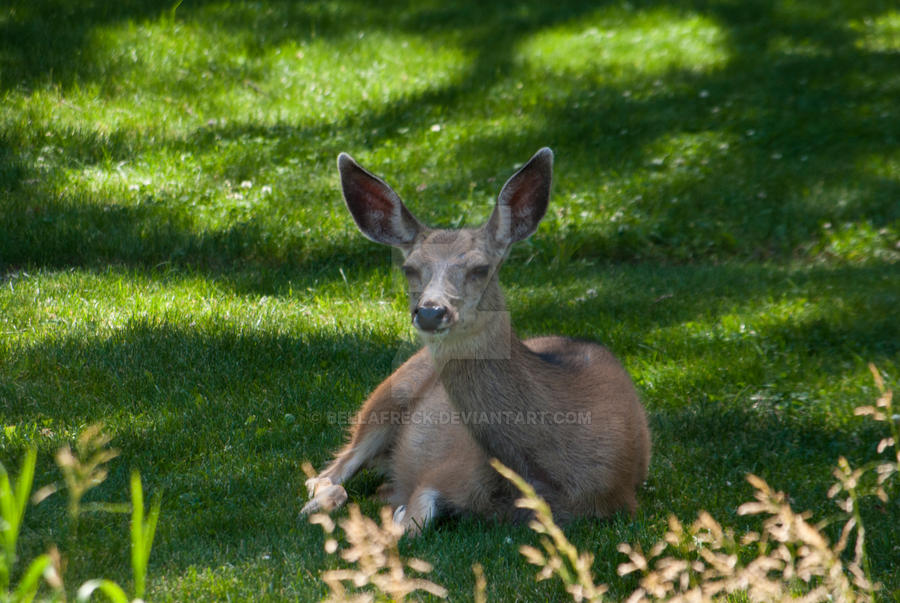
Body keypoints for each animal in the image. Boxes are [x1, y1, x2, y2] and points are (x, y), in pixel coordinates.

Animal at [300, 149, 648, 536]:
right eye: (409, 269)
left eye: (481, 269)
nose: (431, 312)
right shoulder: (444, 468)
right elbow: (413, 520)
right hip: (386, 395)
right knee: (328, 473)